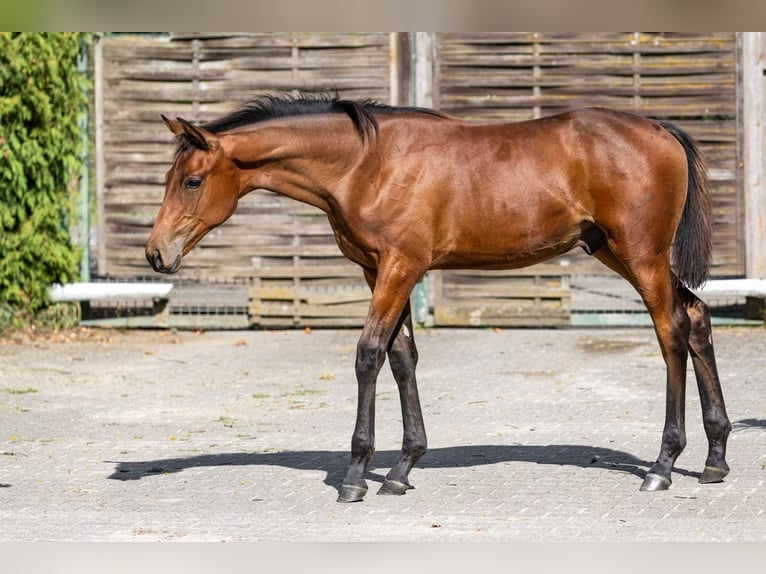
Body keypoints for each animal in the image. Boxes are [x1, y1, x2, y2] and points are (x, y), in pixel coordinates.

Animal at [145, 93, 731, 502]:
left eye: (192, 181)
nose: (156, 253)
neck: (366, 163)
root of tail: (662, 129)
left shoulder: (400, 267)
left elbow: (369, 355)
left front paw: (356, 475)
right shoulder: (379, 271)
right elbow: (402, 356)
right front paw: (402, 469)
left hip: (641, 256)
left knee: (672, 332)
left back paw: (662, 466)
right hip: (614, 252)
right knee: (697, 316)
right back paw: (715, 457)